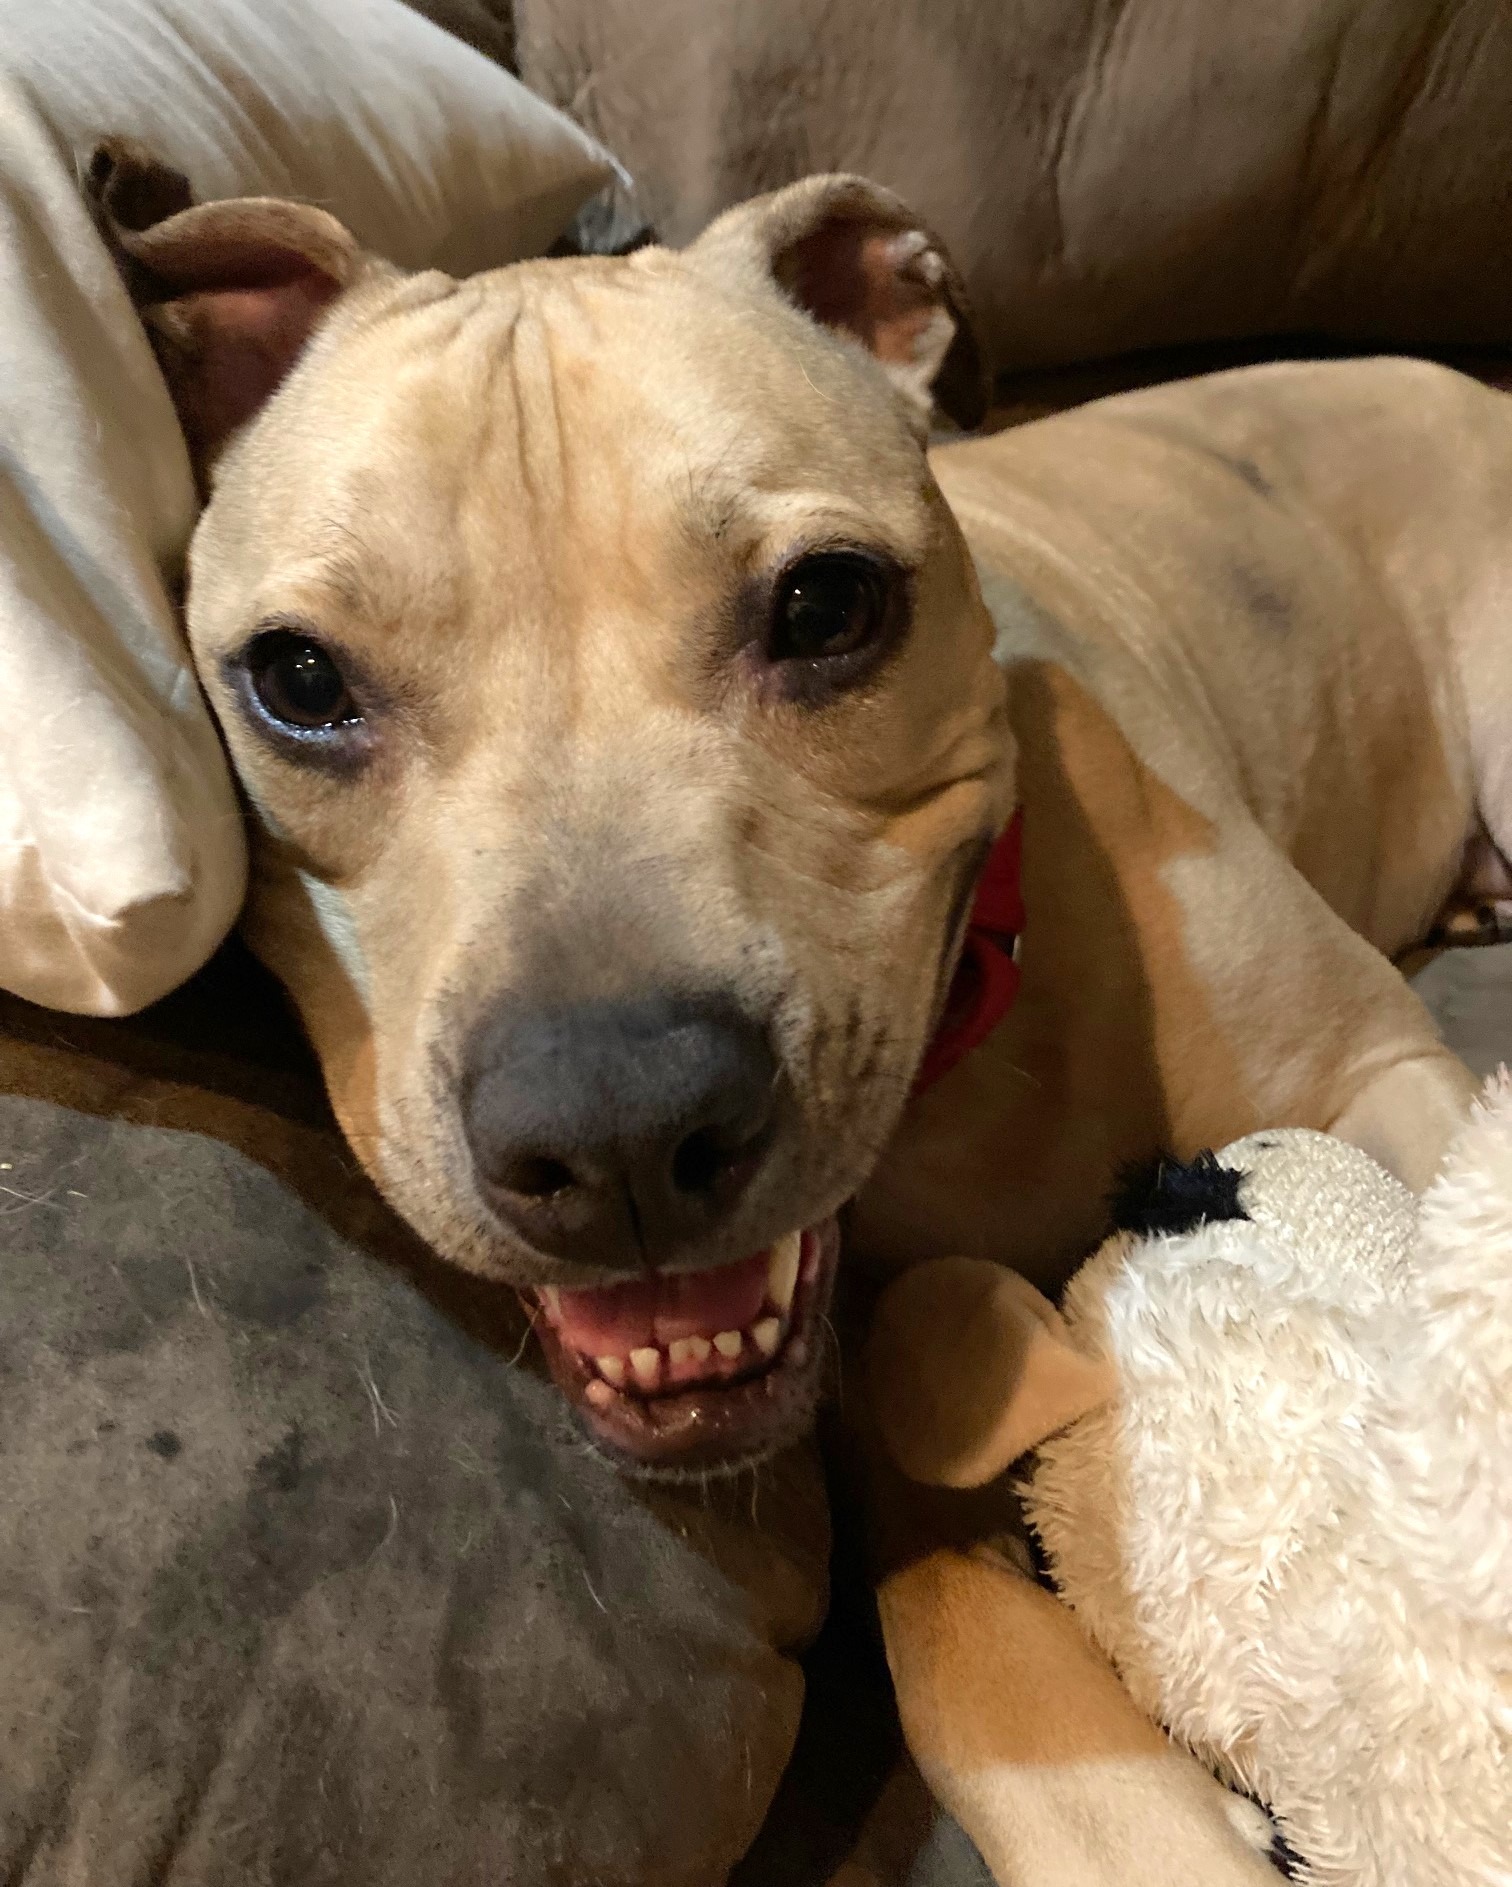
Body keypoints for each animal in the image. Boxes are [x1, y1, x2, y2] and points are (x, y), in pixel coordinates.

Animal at [100, 150, 1502, 1887]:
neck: (977, 1044)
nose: (618, 1130)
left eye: (829, 606)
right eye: (296, 679)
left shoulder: (1378, 1067)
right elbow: (974, 1675)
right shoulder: (913, 1455)